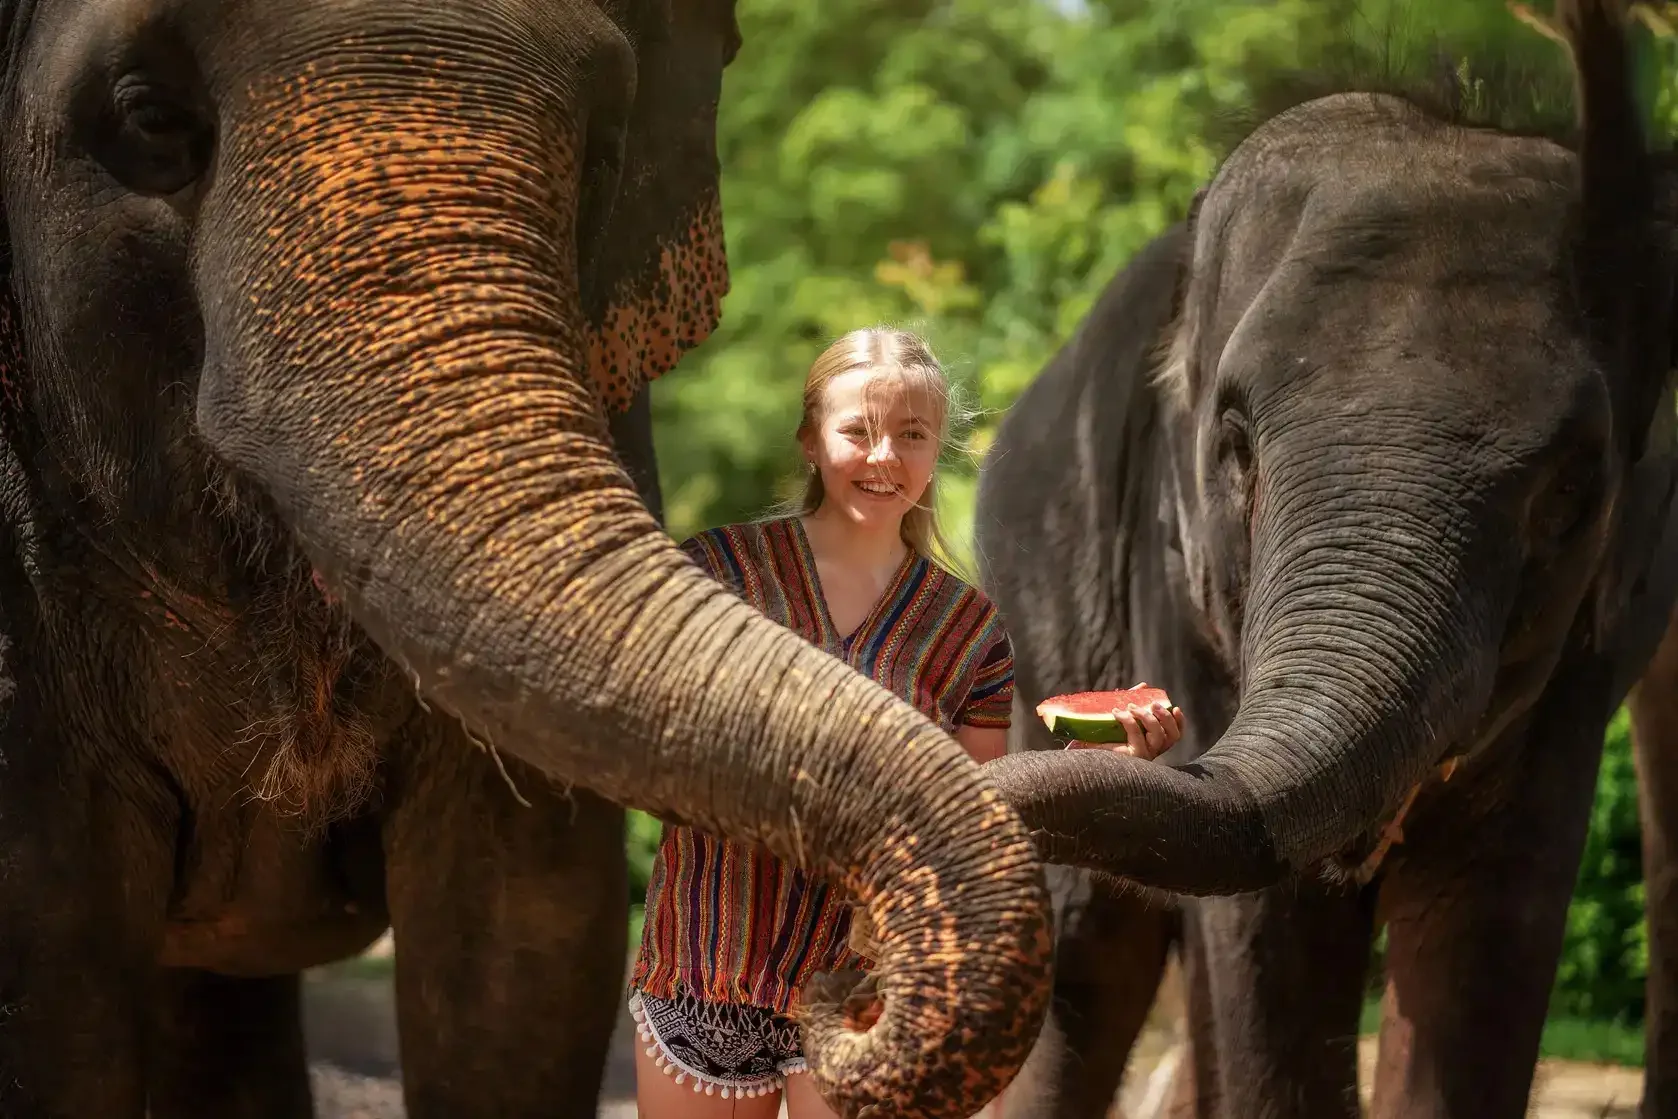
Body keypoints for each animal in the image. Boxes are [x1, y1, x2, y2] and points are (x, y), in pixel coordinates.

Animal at [971, 2, 1678, 1116]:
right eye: (1233, 448)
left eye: (1570, 495)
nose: (1584, 27)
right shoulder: (1178, 586)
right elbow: (1268, 938)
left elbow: (1489, 937)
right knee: (1091, 954)